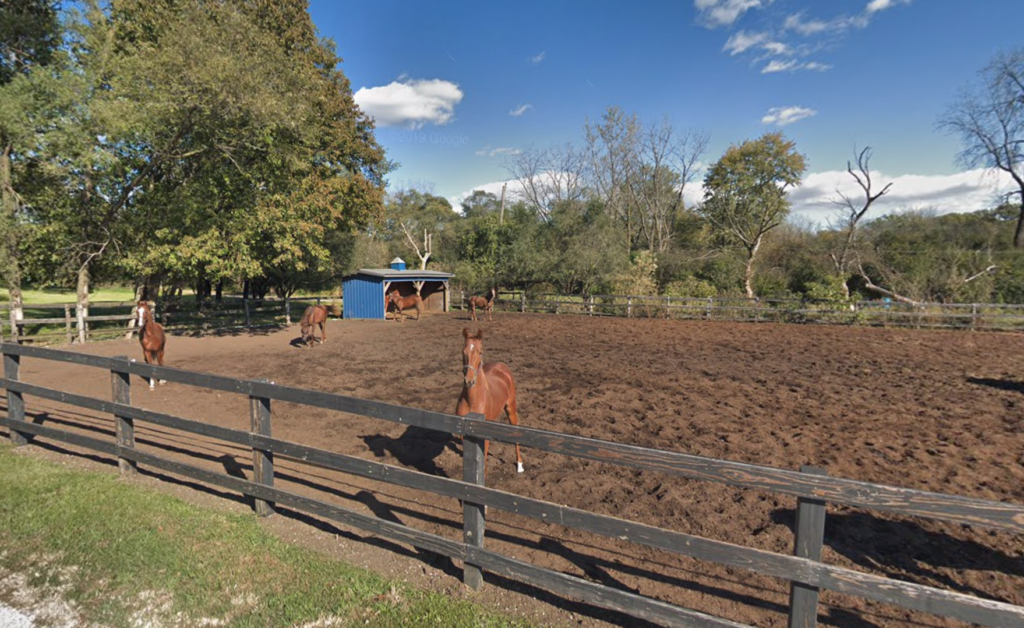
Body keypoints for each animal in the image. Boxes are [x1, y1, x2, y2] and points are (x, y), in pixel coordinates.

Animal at [456, 327, 524, 475]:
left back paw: (520, 464)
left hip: (510, 408)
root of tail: (502, 365)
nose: (469, 381)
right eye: (463, 351)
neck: (472, 401)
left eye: (480, 352)